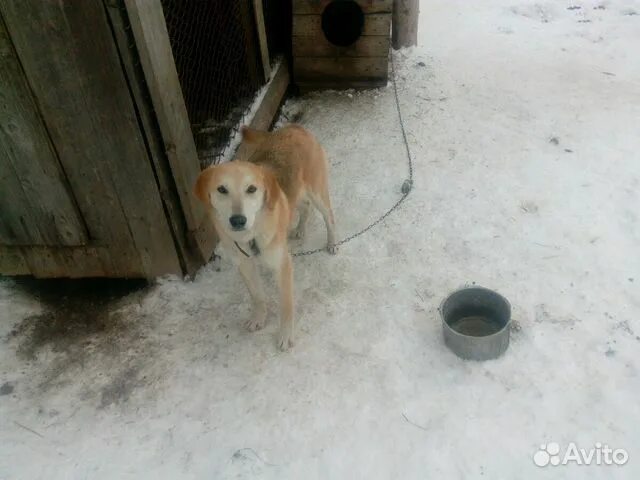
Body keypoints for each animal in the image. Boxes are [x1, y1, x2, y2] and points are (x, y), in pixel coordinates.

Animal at [194, 124, 336, 348]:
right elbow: (257, 296)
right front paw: (259, 318)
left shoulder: (282, 265)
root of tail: (294, 128)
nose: (237, 220)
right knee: (304, 207)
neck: (251, 235)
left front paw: (285, 335)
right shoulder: (244, 264)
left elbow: (286, 305)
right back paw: (299, 229)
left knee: (328, 216)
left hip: (317, 191)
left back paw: (332, 242)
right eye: (221, 189)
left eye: (251, 189)